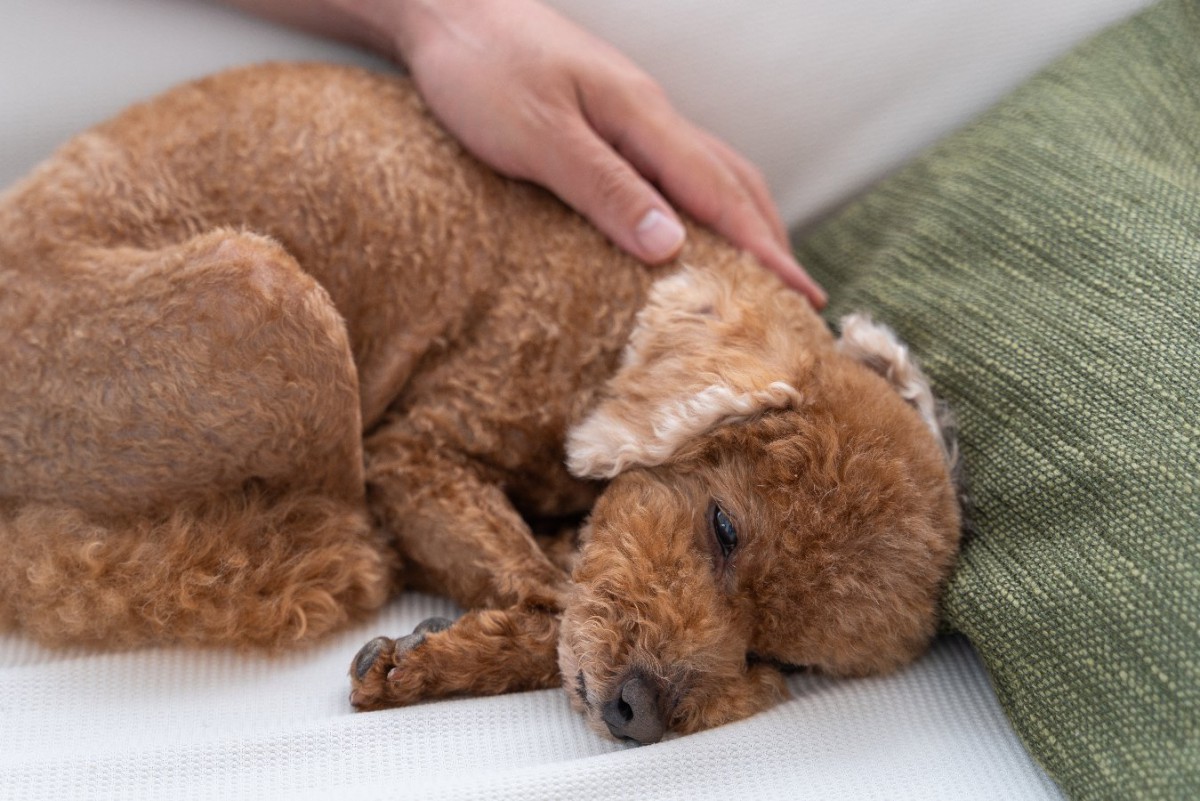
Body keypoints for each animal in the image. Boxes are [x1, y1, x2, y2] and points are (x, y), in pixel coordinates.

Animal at [0, 62, 955, 743]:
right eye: (723, 527)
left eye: (779, 655)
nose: (637, 711)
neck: (609, 329)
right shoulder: (415, 451)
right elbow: (547, 597)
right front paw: (435, 650)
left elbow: (558, 604)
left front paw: (437, 653)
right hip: (267, 295)